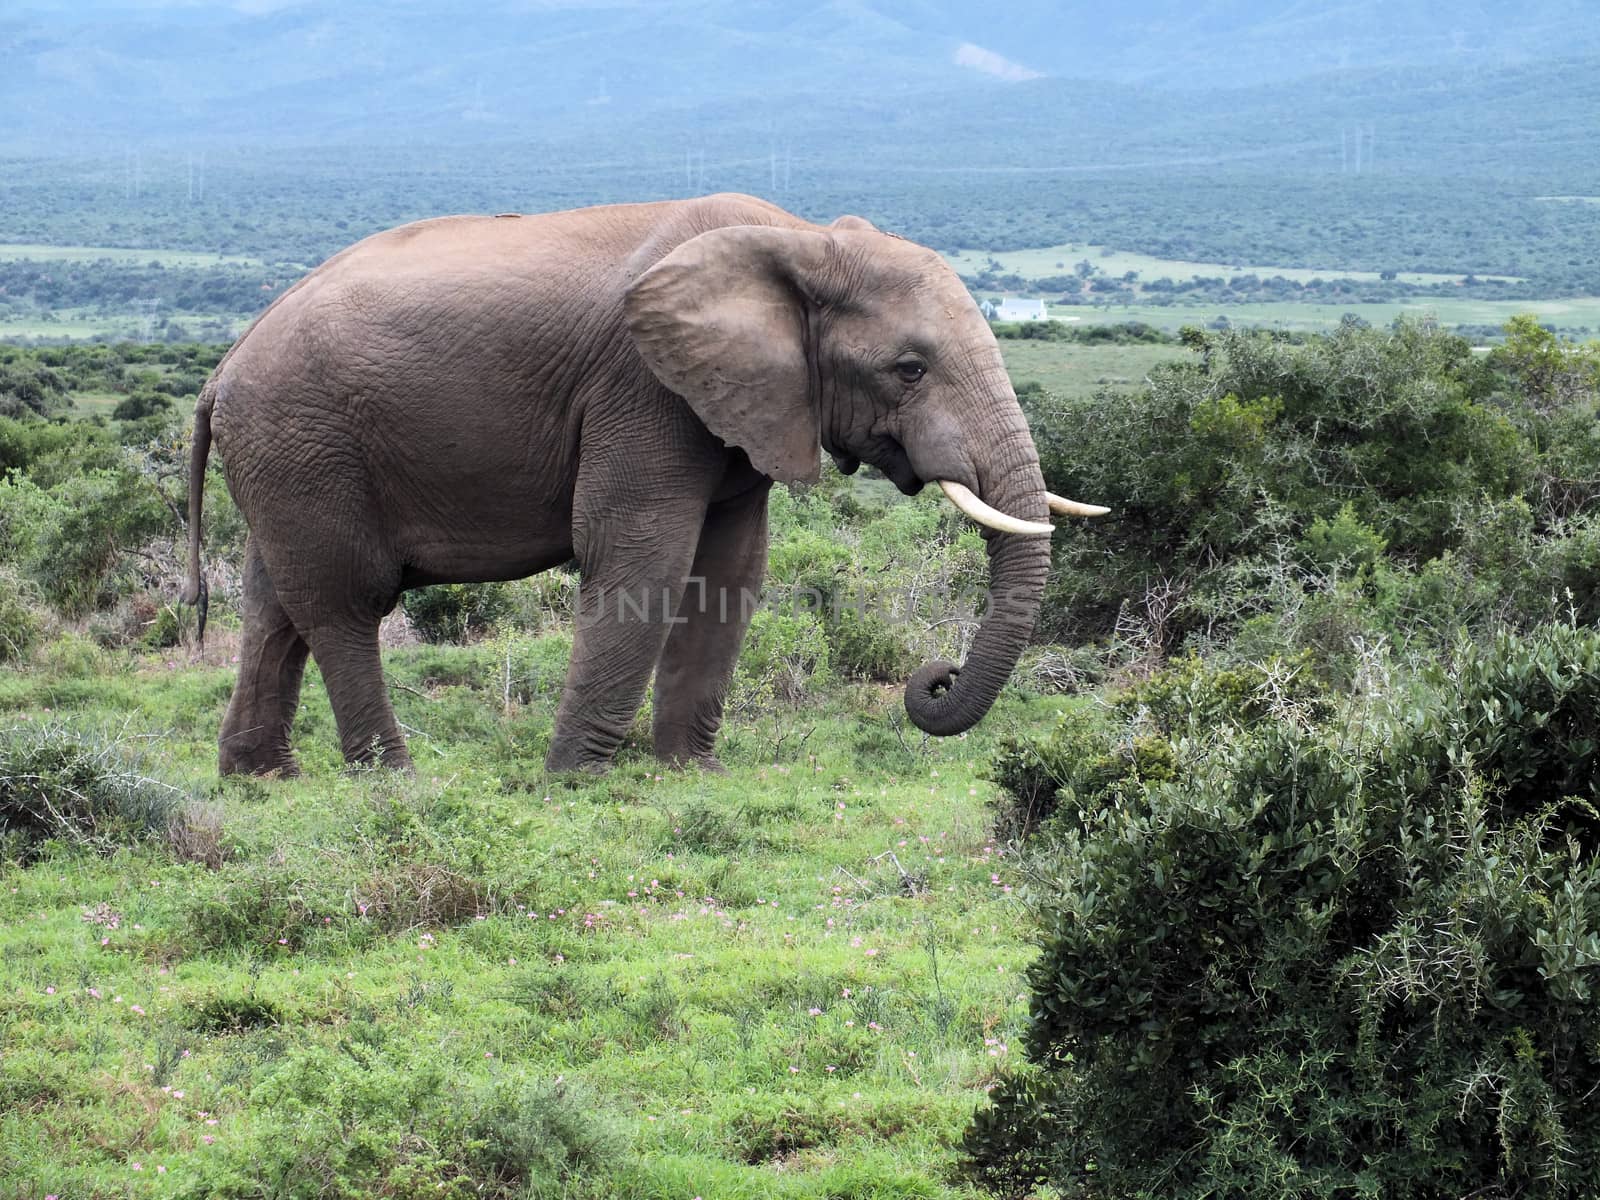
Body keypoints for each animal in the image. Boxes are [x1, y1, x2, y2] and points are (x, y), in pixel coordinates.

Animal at [178, 195, 1100, 780]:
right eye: (909, 369)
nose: (934, 679)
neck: (798, 239)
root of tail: (222, 369)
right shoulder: (642, 386)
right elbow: (641, 556)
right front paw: (576, 782)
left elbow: (731, 573)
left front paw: (692, 773)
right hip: (305, 440)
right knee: (343, 604)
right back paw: (393, 780)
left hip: (287, 458)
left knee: (274, 606)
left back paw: (262, 779)